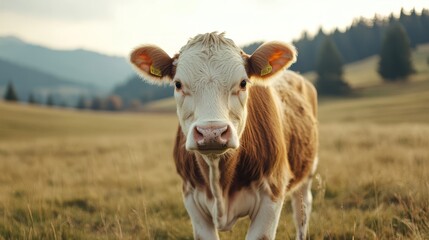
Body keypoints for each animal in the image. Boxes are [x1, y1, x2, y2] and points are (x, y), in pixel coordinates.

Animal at [130, 32, 318, 240]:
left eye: (243, 83)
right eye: (178, 84)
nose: (211, 132)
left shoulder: (272, 194)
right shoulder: (190, 196)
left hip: (308, 171)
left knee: (302, 209)